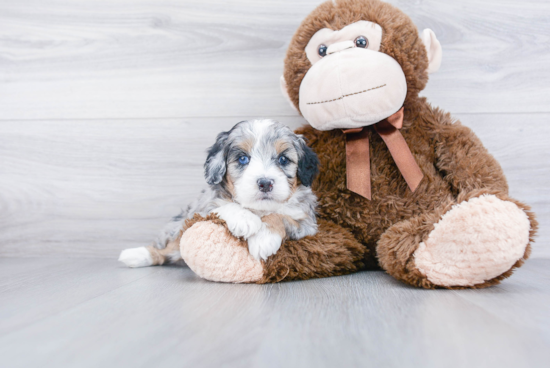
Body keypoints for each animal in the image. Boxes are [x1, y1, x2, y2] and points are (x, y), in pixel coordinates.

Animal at [119, 119, 320, 266]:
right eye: (243, 158)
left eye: (283, 159)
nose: (265, 183)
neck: (258, 209)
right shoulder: (201, 210)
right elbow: (223, 205)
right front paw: (245, 219)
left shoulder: (307, 225)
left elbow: (279, 216)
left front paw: (264, 239)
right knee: (167, 249)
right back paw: (136, 254)